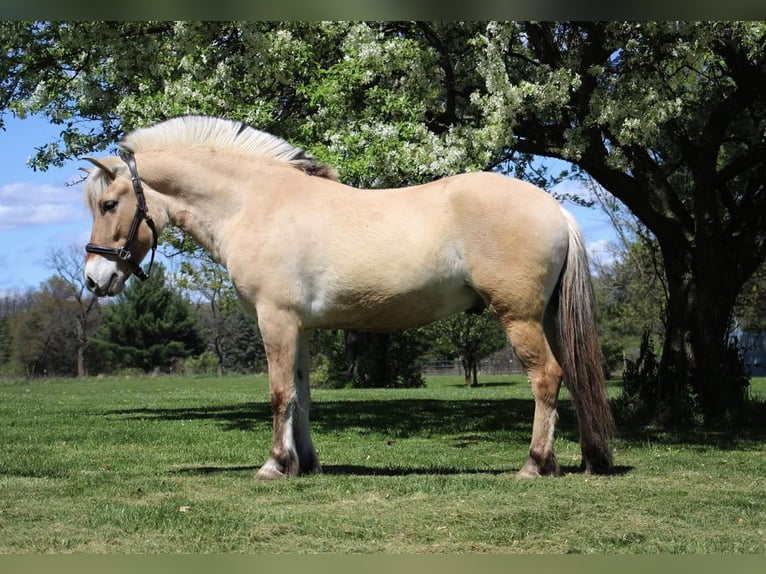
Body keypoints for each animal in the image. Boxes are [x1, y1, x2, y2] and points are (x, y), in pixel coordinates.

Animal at [81, 115, 616, 480]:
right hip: (547, 318)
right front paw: (303, 463)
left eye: (109, 204)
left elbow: (279, 394)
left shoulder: (275, 320)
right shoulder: (298, 328)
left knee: (547, 378)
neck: (254, 203)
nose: (94, 277)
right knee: (574, 375)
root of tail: (554, 209)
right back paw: (586, 459)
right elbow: (301, 395)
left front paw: (273, 465)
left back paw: (535, 463)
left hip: (519, 317)